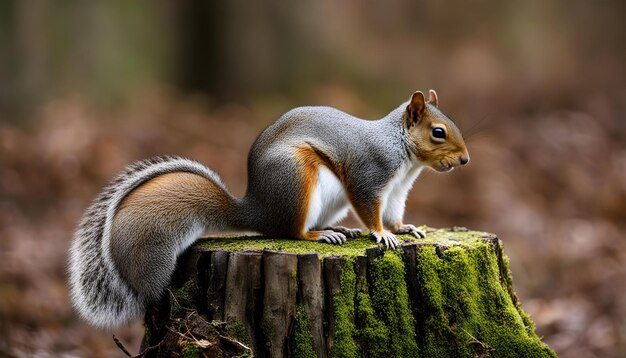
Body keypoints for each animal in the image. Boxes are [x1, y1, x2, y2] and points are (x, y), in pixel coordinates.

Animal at [68, 89, 468, 328]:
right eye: (438, 132)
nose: (465, 160)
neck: (402, 152)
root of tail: (256, 209)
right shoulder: (369, 177)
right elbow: (370, 210)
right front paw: (382, 235)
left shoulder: (398, 189)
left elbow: (394, 212)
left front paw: (403, 228)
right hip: (298, 177)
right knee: (290, 231)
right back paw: (319, 235)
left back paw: (340, 229)